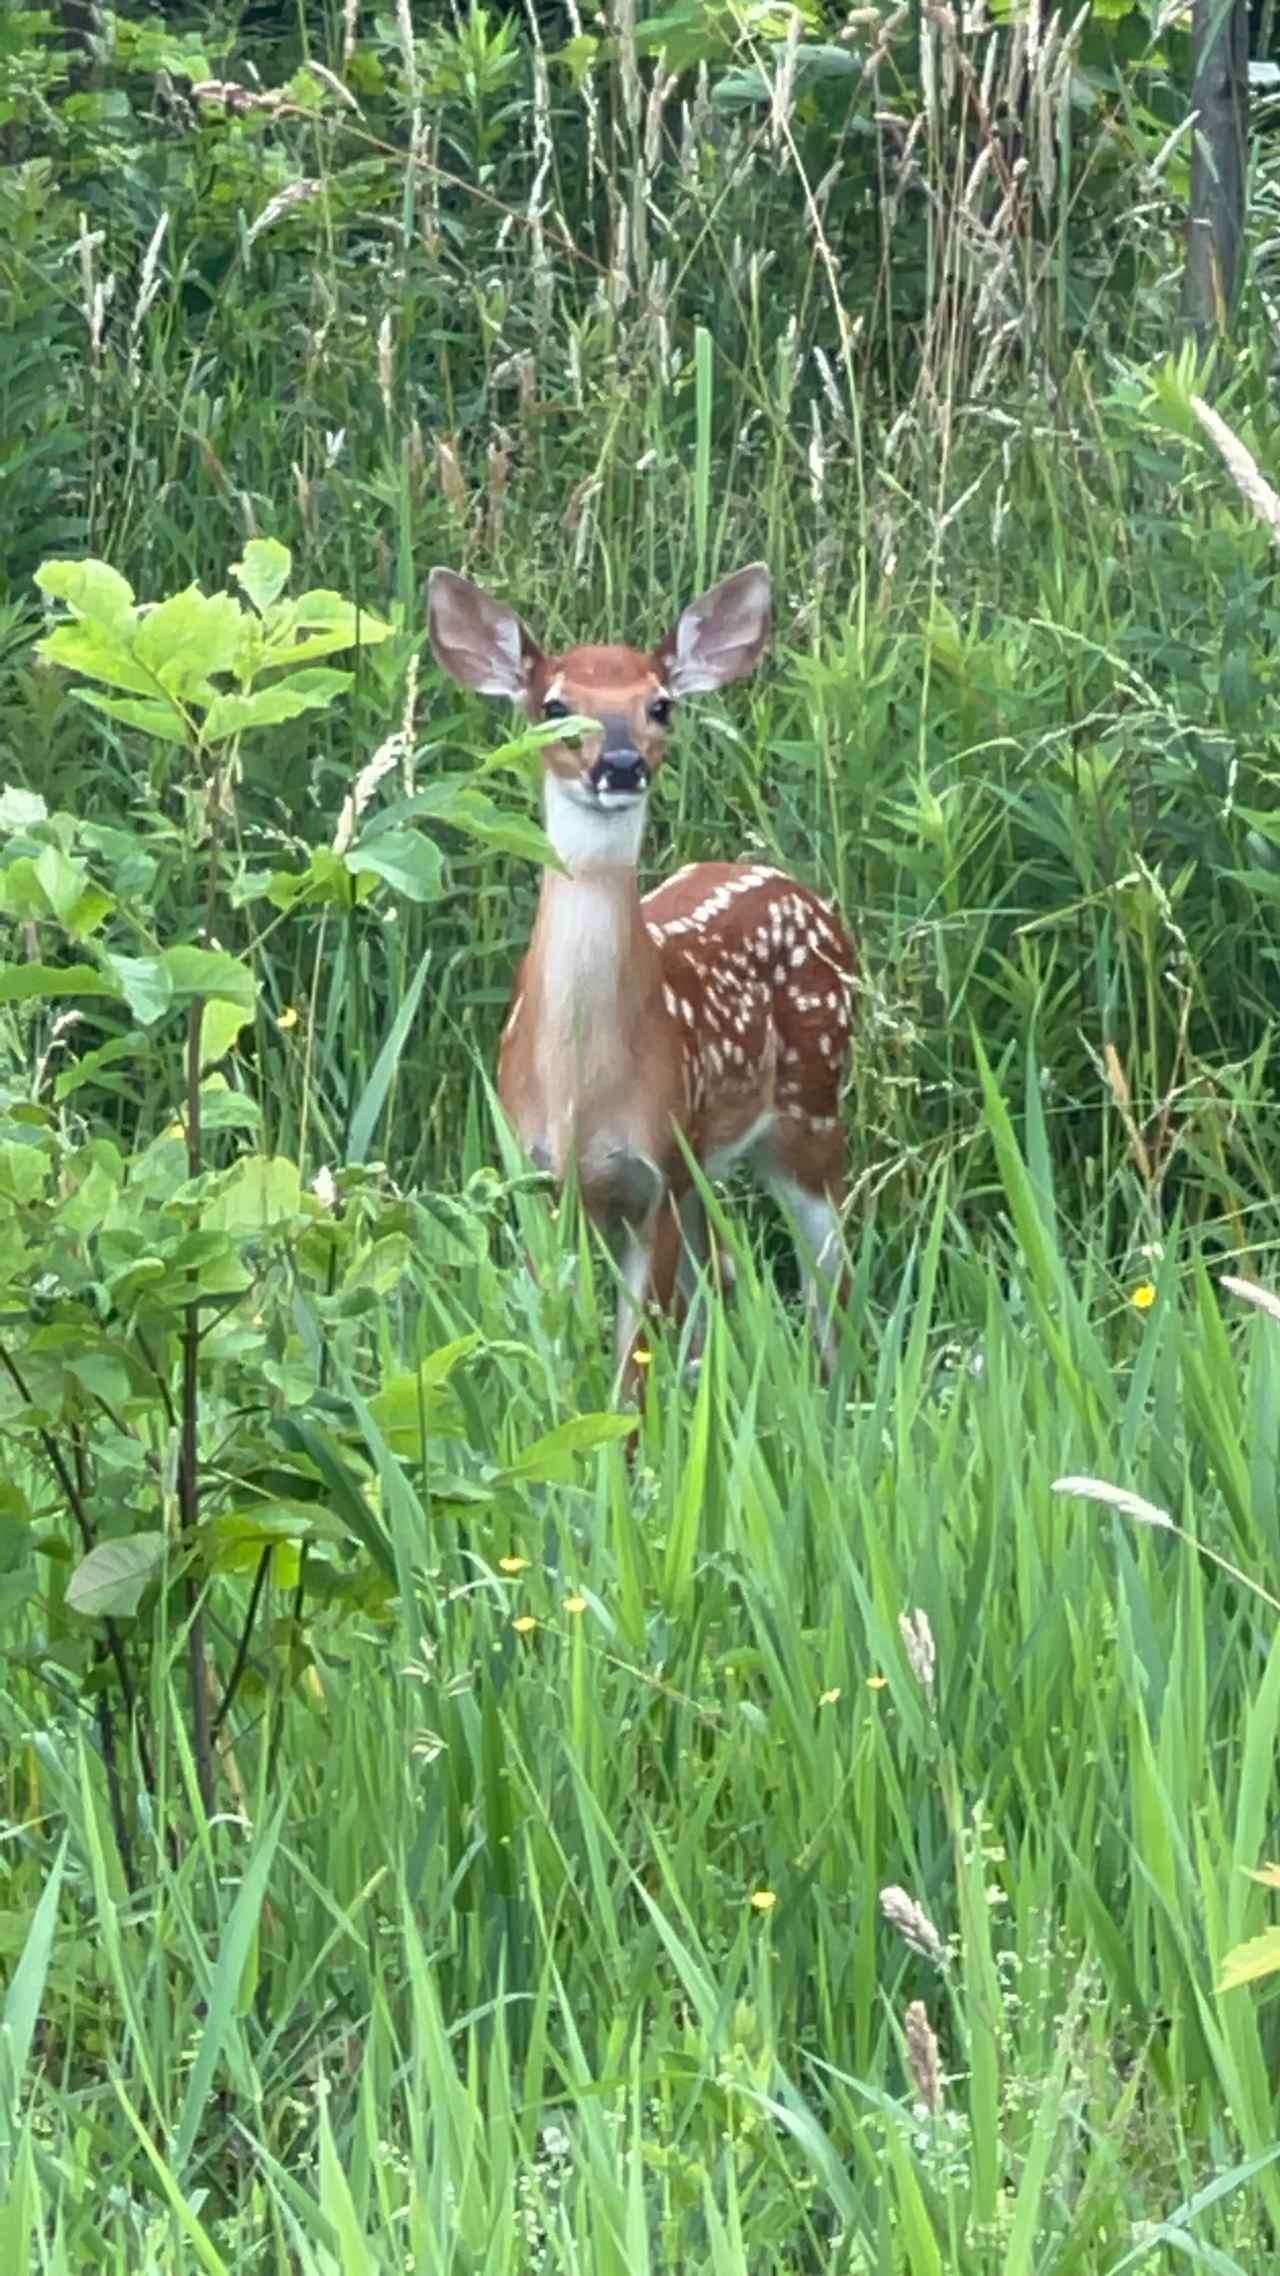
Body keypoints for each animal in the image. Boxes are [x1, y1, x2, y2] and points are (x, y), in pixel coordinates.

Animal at [423, 559, 851, 1392]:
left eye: (660, 705)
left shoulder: (656, 1175)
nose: (619, 766)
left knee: (832, 1283)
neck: (579, 1091)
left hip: (813, 1111)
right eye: (553, 707)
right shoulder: (539, 1181)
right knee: (717, 1276)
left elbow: (631, 1372)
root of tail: (792, 886)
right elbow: (561, 1347)